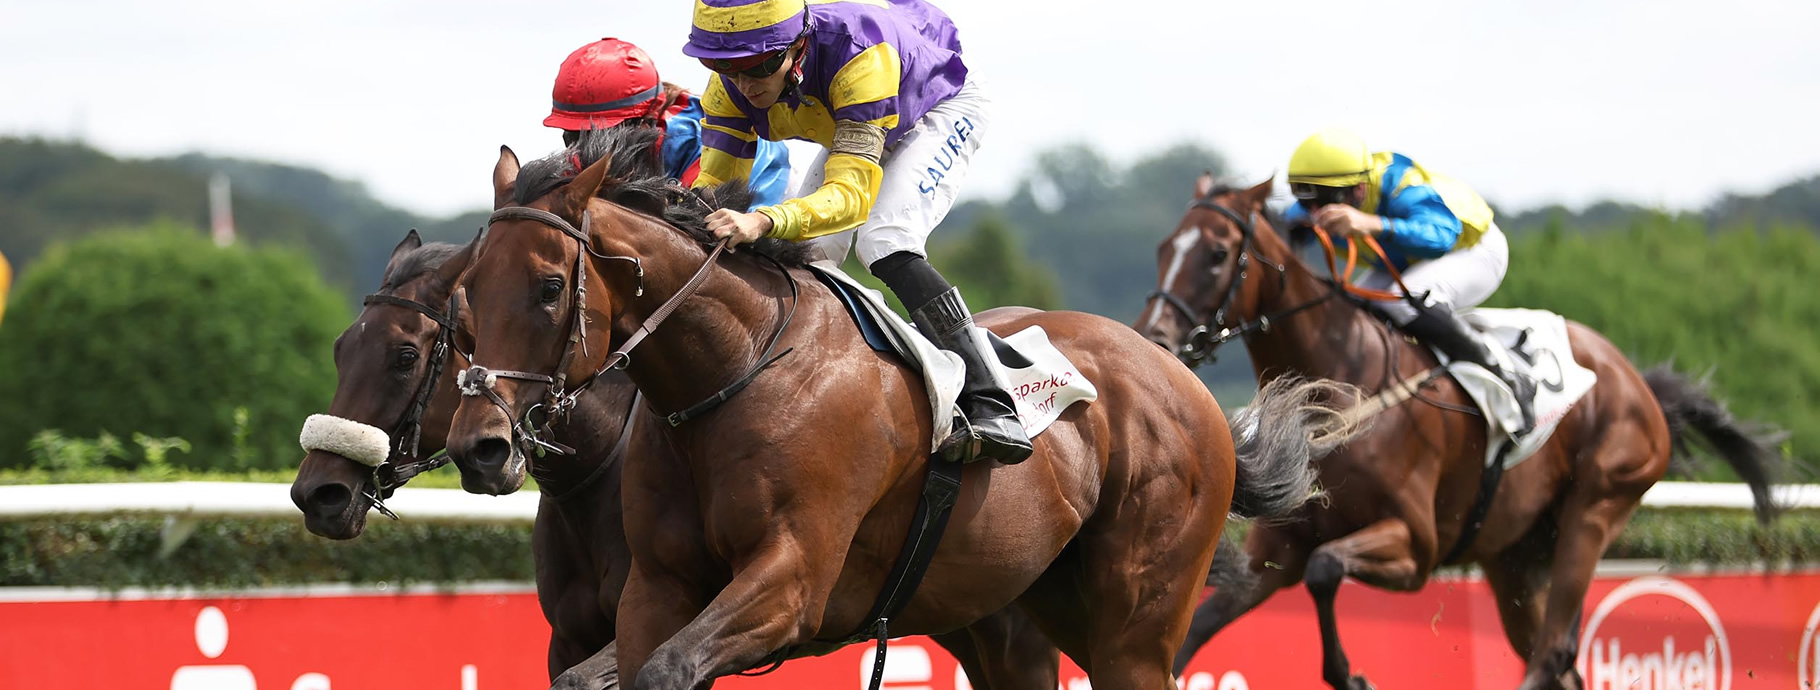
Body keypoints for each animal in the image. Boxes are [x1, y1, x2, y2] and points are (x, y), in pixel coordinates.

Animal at [443, 128, 1363, 690]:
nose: (479, 445)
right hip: (1020, 611)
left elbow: (672, 665)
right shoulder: (658, 590)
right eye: (464, 292)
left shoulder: (792, 582)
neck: (729, 376)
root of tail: (1188, 387)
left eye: (550, 286)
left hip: (1135, 623)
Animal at [1134, 174, 1783, 690]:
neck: (1345, 385)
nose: (1156, 338)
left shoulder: (1416, 547)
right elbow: (1197, 628)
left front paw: (1353, 676)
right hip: (1516, 558)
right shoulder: (1276, 551)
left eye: (1218, 253)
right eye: (1164, 247)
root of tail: (1637, 382)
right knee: (1555, 659)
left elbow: (1325, 570)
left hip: (1595, 511)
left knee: (1552, 651)